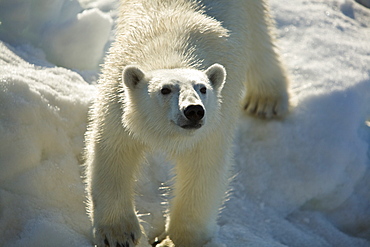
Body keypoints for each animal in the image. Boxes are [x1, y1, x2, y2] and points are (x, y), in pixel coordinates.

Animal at [84, 0, 290, 246]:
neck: (170, 50)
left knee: (259, 37)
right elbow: (113, 152)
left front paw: (176, 240)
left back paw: (266, 100)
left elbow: (202, 168)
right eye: (165, 89)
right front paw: (119, 234)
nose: (194, 111)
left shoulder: (215, 121)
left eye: (202, 88)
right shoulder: (117, 101)